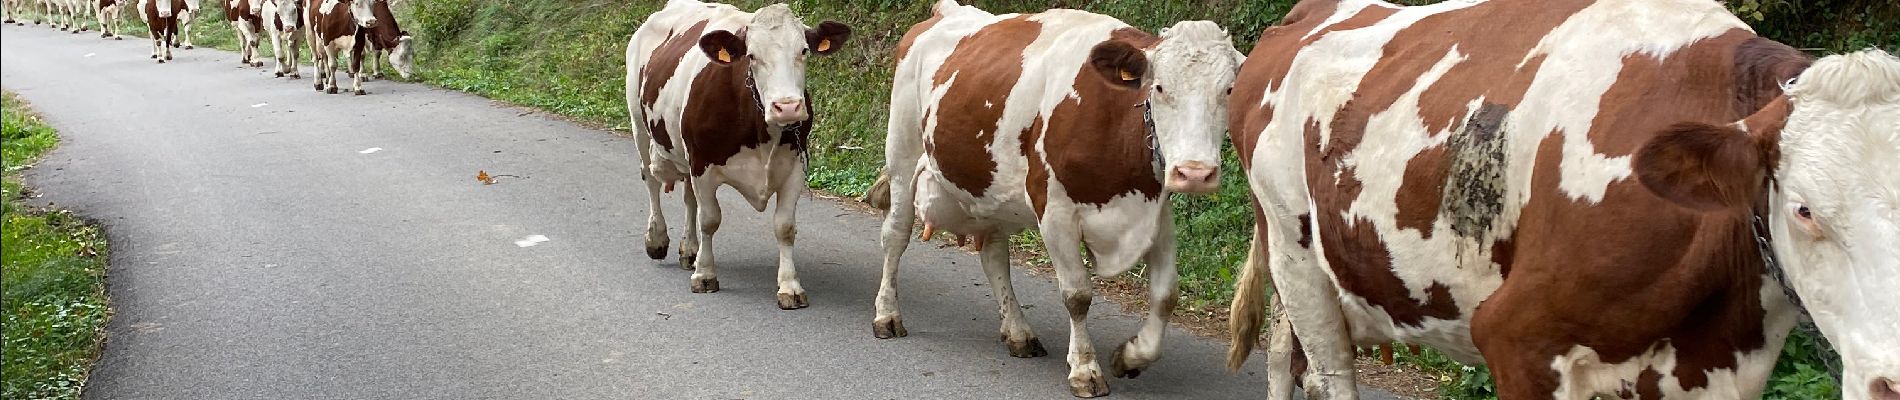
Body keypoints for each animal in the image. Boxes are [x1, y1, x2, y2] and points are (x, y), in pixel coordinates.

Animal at [627, 0, 851, 309]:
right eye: (752, 56)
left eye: (804, 50)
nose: (788, 107)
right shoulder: (703, 164)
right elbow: (710, 219)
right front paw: (705, 274)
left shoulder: (795, 166)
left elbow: (785, 227)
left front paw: (790, 286)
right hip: (639, 125)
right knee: (650, 181)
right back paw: (657, 239)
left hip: (685, 153)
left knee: (688, 198)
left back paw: (689, 249)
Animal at [870, 0, 1246, 396]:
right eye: (1159, 87)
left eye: (1229, 90)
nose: (1195, 173)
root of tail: (947, 11)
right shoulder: (1054, 211)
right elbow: (1077, 294)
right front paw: (1085, 368)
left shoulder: (1154, 214)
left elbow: (1166, 294)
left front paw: (1131, 357)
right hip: (902, 153)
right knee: (896, 234)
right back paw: (887, 315)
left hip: (991, 192)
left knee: (993, 255)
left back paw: (1018, 332)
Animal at [1223, 0, 1900, 398]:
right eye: (1805, 210)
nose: (1892, 383)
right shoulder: (1517, 338)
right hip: (1294, 252)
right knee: (1330, 371)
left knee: (1285, 353)